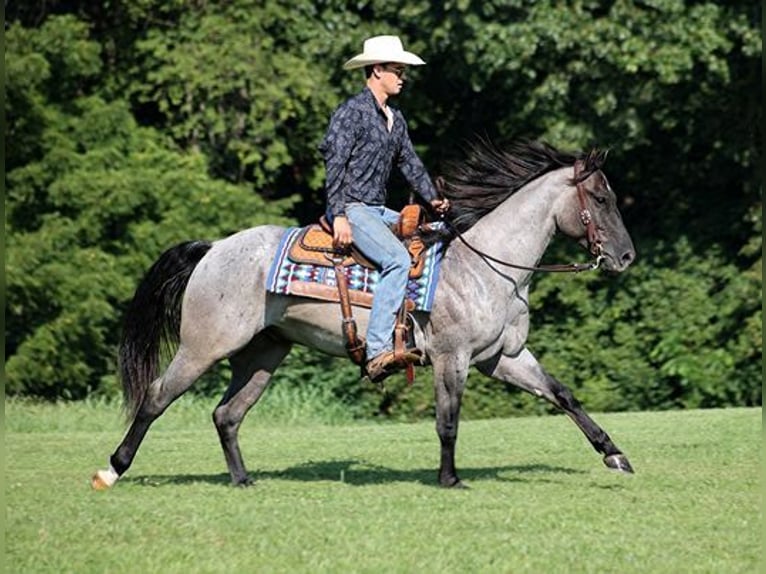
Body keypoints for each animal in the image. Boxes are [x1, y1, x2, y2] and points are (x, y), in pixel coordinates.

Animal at [93, 140, 640, 490]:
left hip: (263, 354)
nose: (626, 256)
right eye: (601, 197)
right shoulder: (452, 358)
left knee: (227, 414)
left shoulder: (502, 357)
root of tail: (211, 249)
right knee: (156, 396)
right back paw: (112, 470)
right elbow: (447, 421)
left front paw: (615, 454)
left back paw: (243, 480)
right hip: (204, 347)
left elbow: (563, 395)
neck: (487, 267)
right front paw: (450, 479)